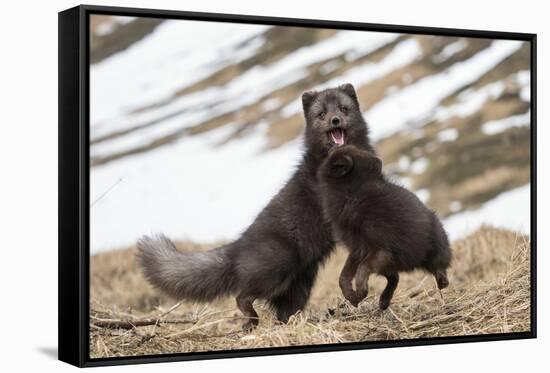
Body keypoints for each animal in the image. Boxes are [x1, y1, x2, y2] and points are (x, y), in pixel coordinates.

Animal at [136, 83, 378, 328]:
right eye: (321, 114)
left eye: (343, 108)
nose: (335, 120)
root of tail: (238, 247)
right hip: (277, 267)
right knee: (242, 296)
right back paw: (251, 321)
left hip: (299, 285)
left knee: (281, 312)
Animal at [320, 144, 452, 310]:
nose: (335, 145)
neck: (355, 193)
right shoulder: (357, 249)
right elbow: (343, 276)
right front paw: (353, 297)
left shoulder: (381, 249)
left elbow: (362, 269)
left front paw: (360, 291)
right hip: (389, 264)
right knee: (395, 277)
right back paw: (383, 301)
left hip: (431, 250)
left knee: (439, 271)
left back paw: (440, 281)